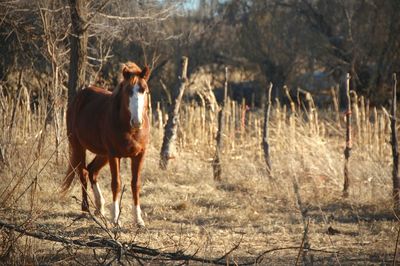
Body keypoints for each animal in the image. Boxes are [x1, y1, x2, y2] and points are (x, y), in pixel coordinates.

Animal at [62, 61, 150, 227]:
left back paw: (100, 207)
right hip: (78, 146)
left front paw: (138, 220)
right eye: (128, 91)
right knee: (83, 172)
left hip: (102, 154)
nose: (137, 122)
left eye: (144, 90)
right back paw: (86, 209)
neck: (129, 130)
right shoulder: (114, 155)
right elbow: (116, 183)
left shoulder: (139, 155)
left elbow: (135, 184)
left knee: (92, 170)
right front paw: (115, 219)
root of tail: (79, 97)